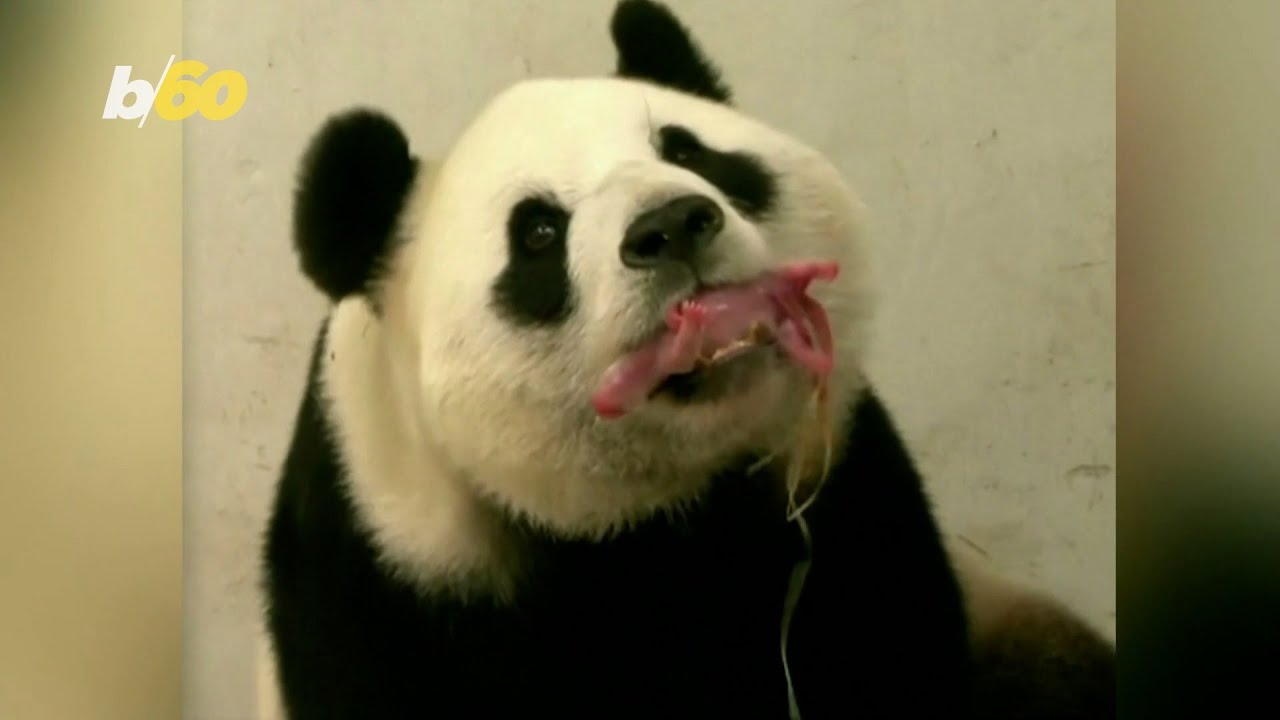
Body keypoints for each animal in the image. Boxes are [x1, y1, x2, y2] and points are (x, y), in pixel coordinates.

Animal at [258, 1, 1115, 718]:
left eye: (687, 150)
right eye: (537, 232)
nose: (671, 226)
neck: (654, 514)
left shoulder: (838, 486)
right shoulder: (394, 570)